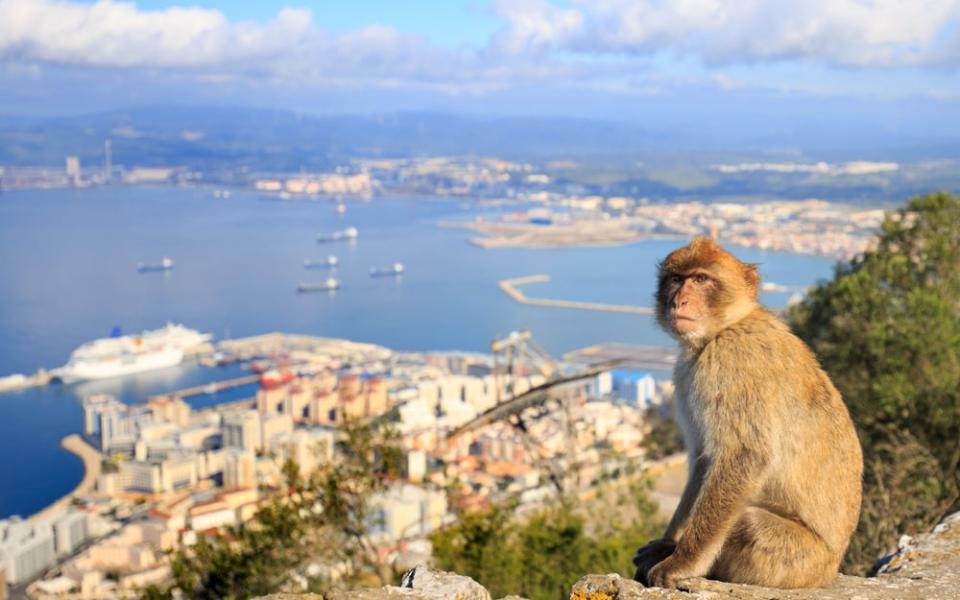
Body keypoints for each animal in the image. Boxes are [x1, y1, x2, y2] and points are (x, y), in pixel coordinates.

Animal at [632, 237, 860, 588]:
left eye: (701, 279)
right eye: (676, 279)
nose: (679, 300)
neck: (726, 326)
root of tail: (830, 568)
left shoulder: (732, 361)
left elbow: (744, 456)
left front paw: (682, 561)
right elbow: (705, 460)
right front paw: (668, 545)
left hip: (798, 561)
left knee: (749, 523)